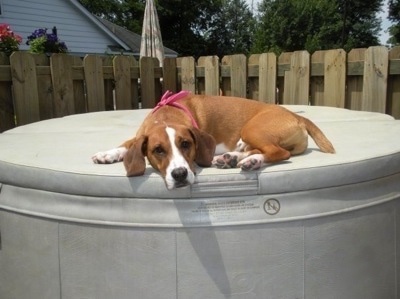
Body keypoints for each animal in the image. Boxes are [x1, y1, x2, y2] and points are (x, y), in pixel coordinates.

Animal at [93, 91, 334, 190]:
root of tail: (297, 116)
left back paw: (251, 162)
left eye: (186, 144)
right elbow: (126, 144)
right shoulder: (140, 135)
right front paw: (107, 154)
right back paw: (232, 157)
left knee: (278, 152)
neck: (167, 115)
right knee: (256, 149)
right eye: (157, 150)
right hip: (249, 136)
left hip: (252, 128)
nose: (179, 175)